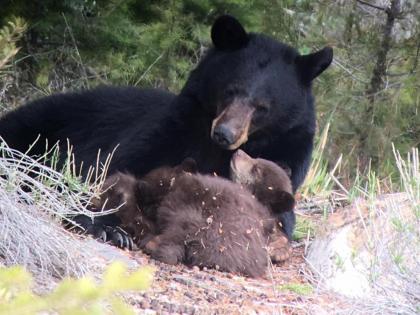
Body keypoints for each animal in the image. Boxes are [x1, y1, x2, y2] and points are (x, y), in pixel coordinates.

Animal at [0, 15, 334, 242]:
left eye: (262, 107)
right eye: (230, 90)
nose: (224, 134)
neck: (212, 147)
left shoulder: (287, 153)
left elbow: (278, 213)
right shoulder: (170, 130)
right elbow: (107, 168)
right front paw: (105, 225)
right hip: (43, 123)